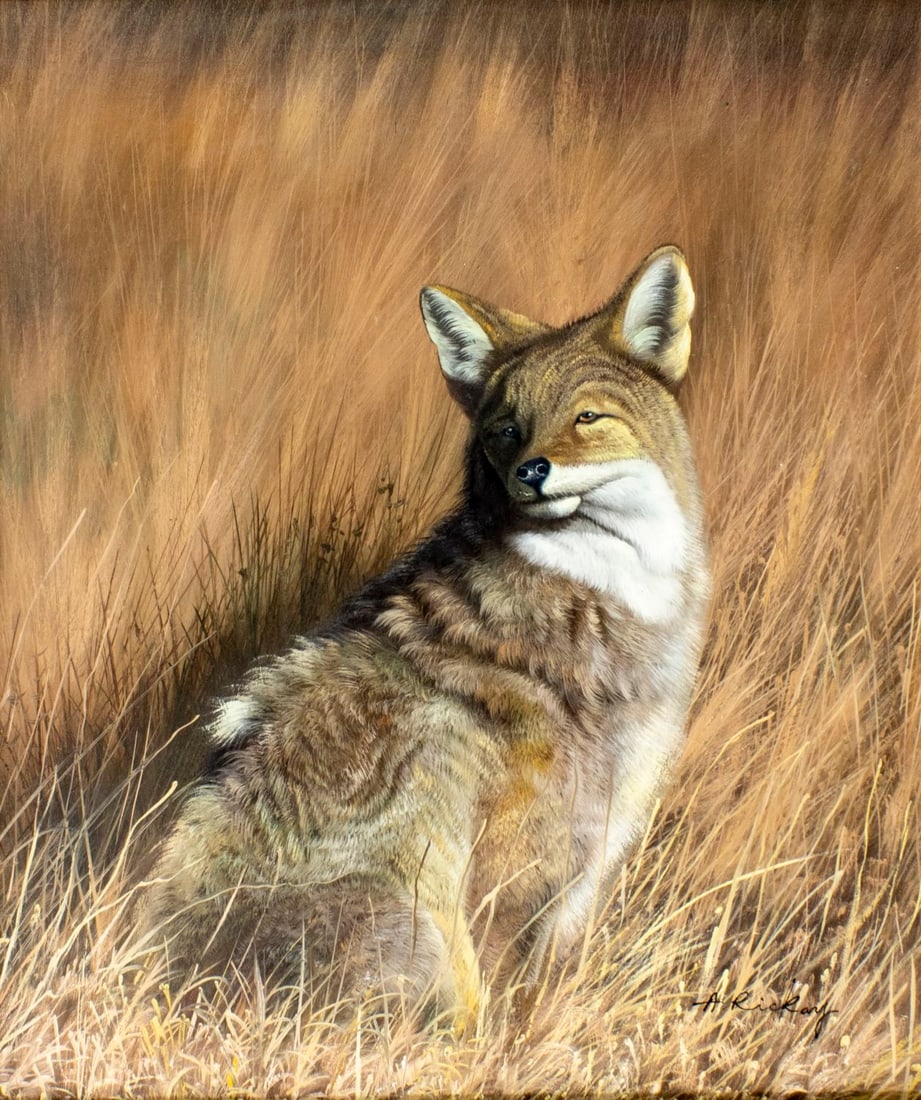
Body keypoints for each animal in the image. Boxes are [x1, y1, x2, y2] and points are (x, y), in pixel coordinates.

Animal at [144, 244, 710, 1031]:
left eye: (587, 417)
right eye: (505, 429)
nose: (530, 471)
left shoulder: (582, 868)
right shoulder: (525, 868)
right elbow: (508, 1004)